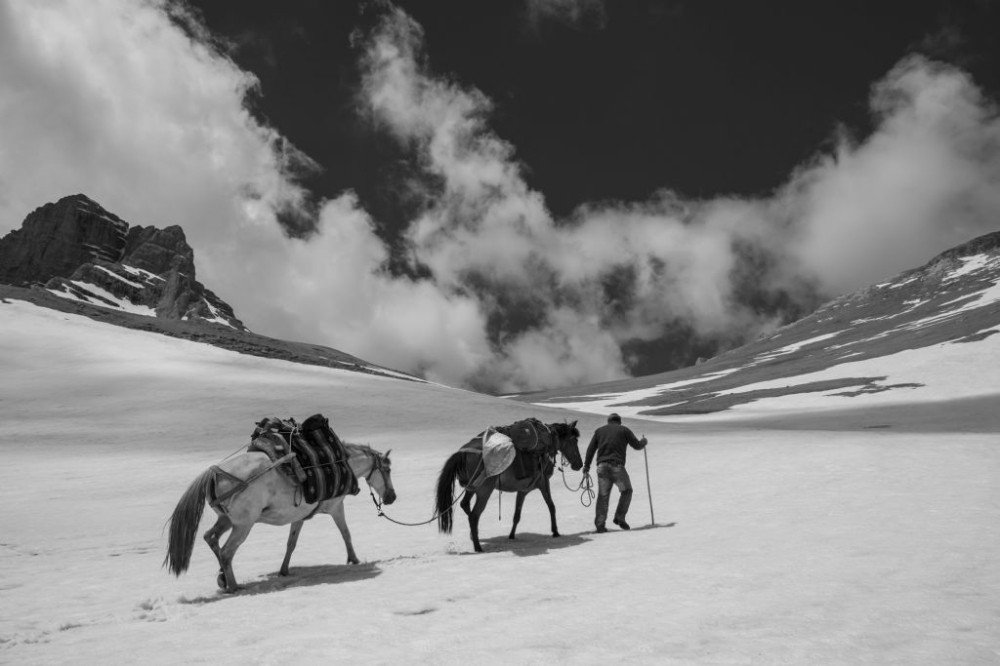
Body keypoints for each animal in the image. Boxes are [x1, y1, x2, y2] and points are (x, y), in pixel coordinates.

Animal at [165, 440, 394, 592]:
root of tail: (214, 473)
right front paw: (354, 559)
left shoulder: (299, 516)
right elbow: (346, 533)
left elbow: (291, 543)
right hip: (243, 525)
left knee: (211, 538)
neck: (342, 463)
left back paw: (223, 578)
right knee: (226, 551)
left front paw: (284, 570)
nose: (392, 497)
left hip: (227, 520)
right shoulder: (336, 507)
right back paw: (234, 586)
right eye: (388, 470)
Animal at [434, 420, 584, 548]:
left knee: (464, 505)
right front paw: (555, 532)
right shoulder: (543, 483)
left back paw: (474, 535)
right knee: (474, 515)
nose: (579, 464)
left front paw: (511, 535)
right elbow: (551, 506)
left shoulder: (523, 490)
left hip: (471, 488)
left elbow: (517, 514)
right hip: (484, 490)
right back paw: (478, 547)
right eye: (574, 440)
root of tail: (464, 452)